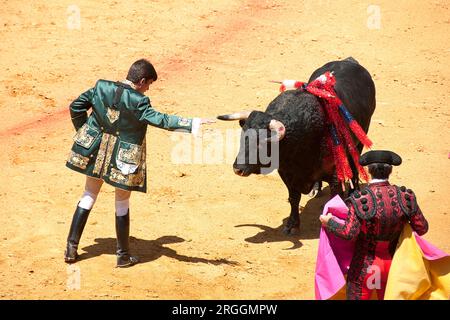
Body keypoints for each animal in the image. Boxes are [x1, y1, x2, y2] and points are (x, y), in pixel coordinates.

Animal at [218, 58, 376, 235]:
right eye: (243, 137)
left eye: (262, 142)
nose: (237, 169)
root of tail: (349, 60)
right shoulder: (286, 173)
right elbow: (293, 197)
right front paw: (292, 224)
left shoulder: (335, 174)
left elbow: (334, 196)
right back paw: (316, 188)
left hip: (360, 138)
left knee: (355, 166)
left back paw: (354, 191)